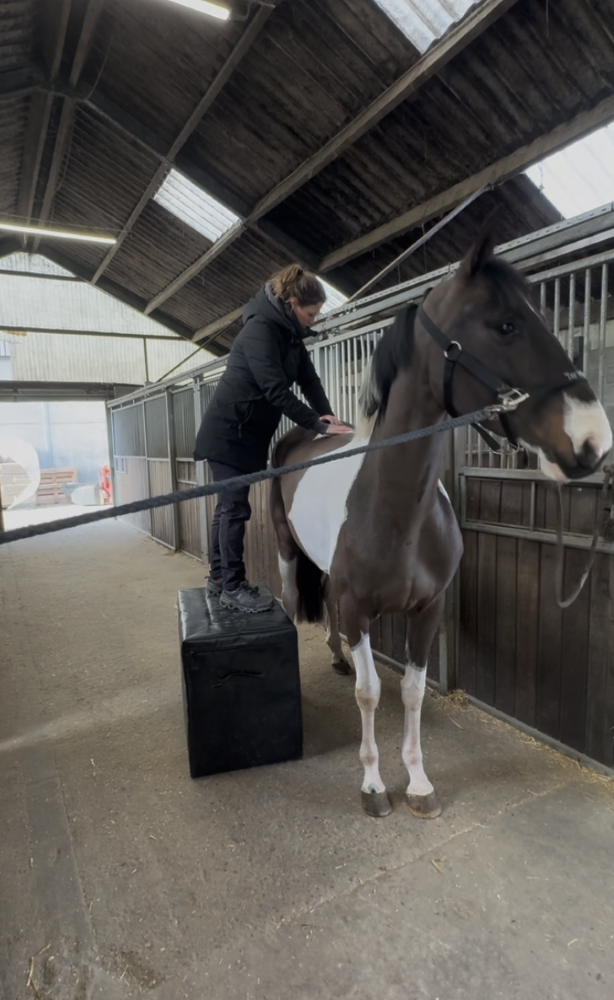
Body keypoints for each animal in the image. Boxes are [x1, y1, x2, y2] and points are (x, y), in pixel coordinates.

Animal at [270, 227, 612, 820]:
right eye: (505, 324)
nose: (593, 439)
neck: (398, 515)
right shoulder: (361, 609)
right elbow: (370, 693)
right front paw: (373, 785)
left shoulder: (428, 609)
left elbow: (411, 691)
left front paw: (418, 783)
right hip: (288, 553)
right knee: (294, 603)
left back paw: (337, 657)